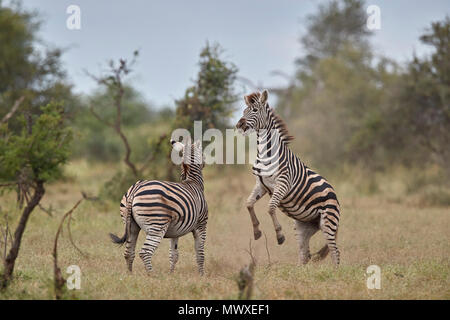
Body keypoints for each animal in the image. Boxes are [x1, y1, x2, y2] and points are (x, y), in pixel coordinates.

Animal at [110, 139, 208, 276]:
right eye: (202, 153)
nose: (205, 162)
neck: (193, 182)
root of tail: (135, 190)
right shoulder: (201, 224)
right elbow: (200, 253)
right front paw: (201, 275)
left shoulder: (176, 231)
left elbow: (174, 254)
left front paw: (171, 274)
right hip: (157, 225)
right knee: (145, 252)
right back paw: (153, 275)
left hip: (131, 225)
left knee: (128, 252)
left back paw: (130, 275)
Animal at [236, 89, 342, 264]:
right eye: (244, 111)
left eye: (255, 110)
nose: (239, 125)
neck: (265, 153)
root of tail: (334, 193)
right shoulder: (261, 185)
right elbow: (249, 203)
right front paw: (257, 231)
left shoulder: (283, 183)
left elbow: (270, 207)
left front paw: (279, 235)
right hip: (303, 226)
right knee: (304, 253)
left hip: (328, 221)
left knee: (335, 251)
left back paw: (335, 271)